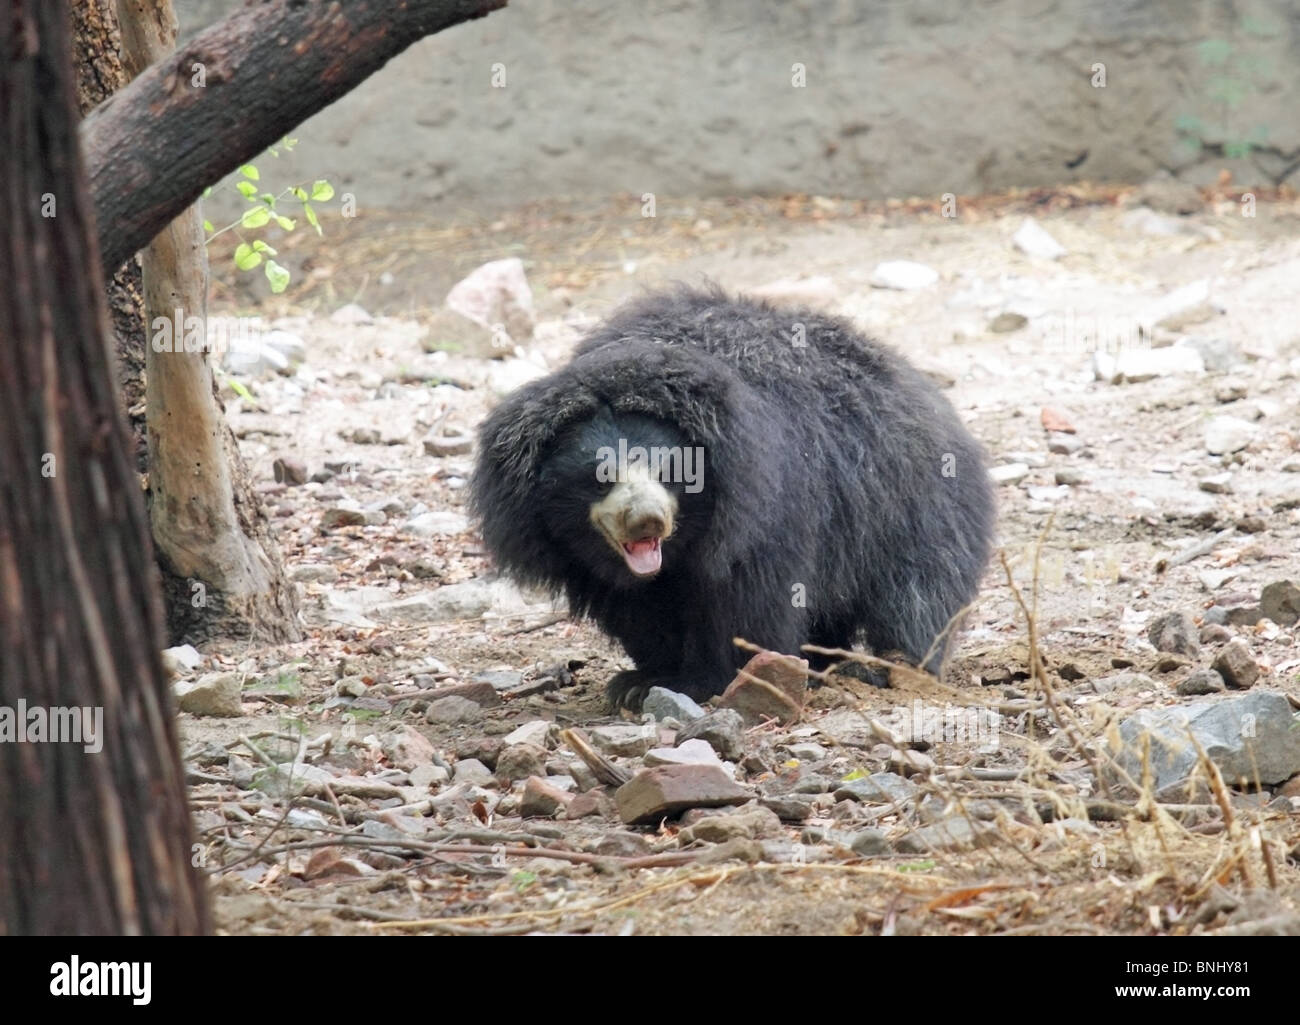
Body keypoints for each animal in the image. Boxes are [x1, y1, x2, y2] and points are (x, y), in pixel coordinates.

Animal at [467, 284, 993, 707]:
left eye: (671, 470)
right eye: (601, 476)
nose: (647, 521)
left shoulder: (765, 510)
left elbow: (749, 602)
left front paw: (711, 680)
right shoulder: (576, 552)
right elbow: (640, 611)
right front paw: (641, 680)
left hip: (912, 505)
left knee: (919, 594)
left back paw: (884, 667)